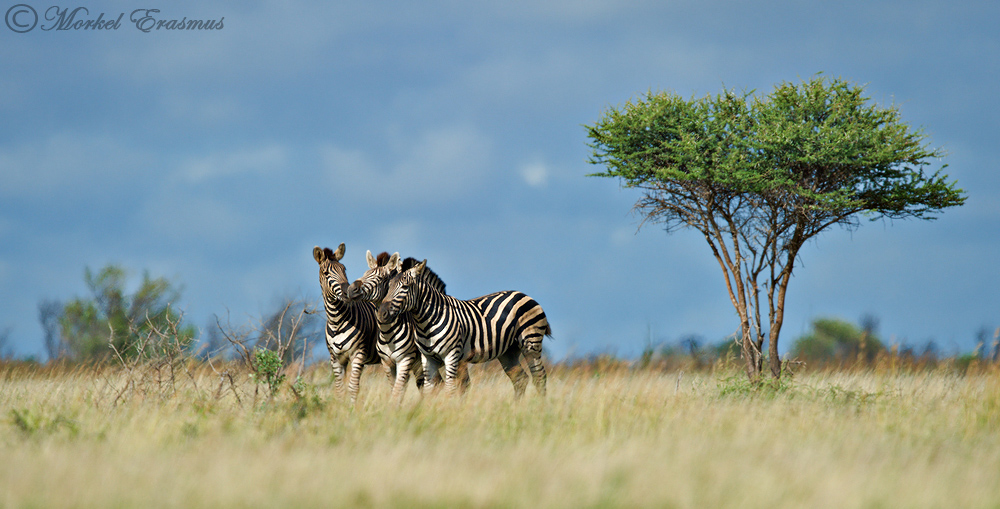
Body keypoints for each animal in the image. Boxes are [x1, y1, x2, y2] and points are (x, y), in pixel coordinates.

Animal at [312, 244, 379, 404]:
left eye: (344, 269)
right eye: (325, 273)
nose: (347, 292)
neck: (336, 320)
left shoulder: (358, 353)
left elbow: (353, 387)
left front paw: (351, 409)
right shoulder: (336, 358)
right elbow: (339, 389)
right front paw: (340, 407)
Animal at [346, 251, 468, 401]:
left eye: (380, 278)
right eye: (364, 273)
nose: (351, 290)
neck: (387, 333)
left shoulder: (405, 360)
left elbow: (397, 391)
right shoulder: (387, 364)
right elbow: (395, 390)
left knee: (462, 384)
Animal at [378, 259, 550, 398]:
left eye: (405, 287)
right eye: (388, 286)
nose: (381, 314)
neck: (425, 323)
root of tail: (525, 295)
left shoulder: (452, 355)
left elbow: (450, 389)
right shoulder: (428, 358)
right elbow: (429, 390)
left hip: (531, 344)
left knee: (539, 377)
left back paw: (539, 409)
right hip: (508, 351)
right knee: (520, 379)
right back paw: (515, 409)